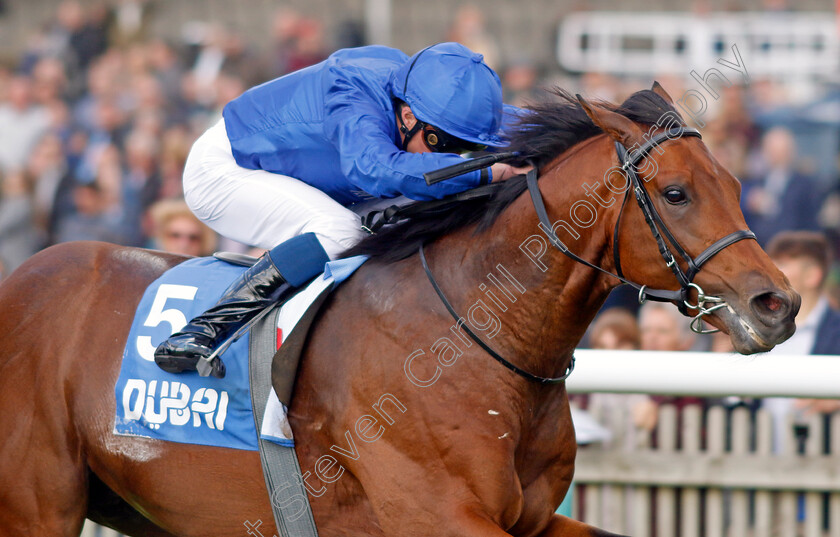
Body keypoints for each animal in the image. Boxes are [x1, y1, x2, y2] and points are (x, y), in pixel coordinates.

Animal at [0, 85, 796, 536]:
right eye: (677, 194)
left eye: (733, 183)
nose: (778, 303)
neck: (477, 338)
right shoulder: (439, 515)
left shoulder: (536, 520)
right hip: (38, 506)